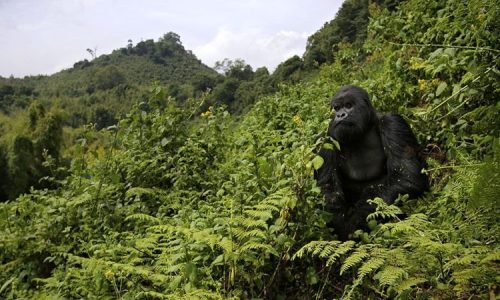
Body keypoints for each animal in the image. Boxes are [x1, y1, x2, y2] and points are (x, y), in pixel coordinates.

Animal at [316, 85, 426, 239]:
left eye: (348, 105)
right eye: (336, 108)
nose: (340, 115)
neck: (365, 128)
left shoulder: (392, 123)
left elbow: (406, 177)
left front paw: (354, 224)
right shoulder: (327, 137)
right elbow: (328, 188)